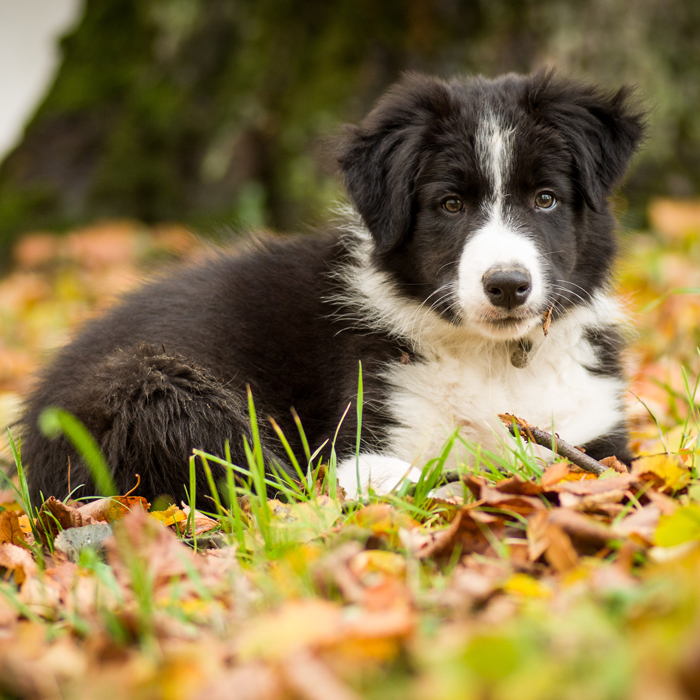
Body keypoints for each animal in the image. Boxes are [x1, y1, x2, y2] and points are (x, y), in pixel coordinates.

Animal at [20, 71, 644, 506]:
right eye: (450, 205)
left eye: (546, 199)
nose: (508, 286)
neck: (495, 359)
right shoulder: (364, 435)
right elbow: (409, 473)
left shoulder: (597, 435)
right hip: (149, 388)